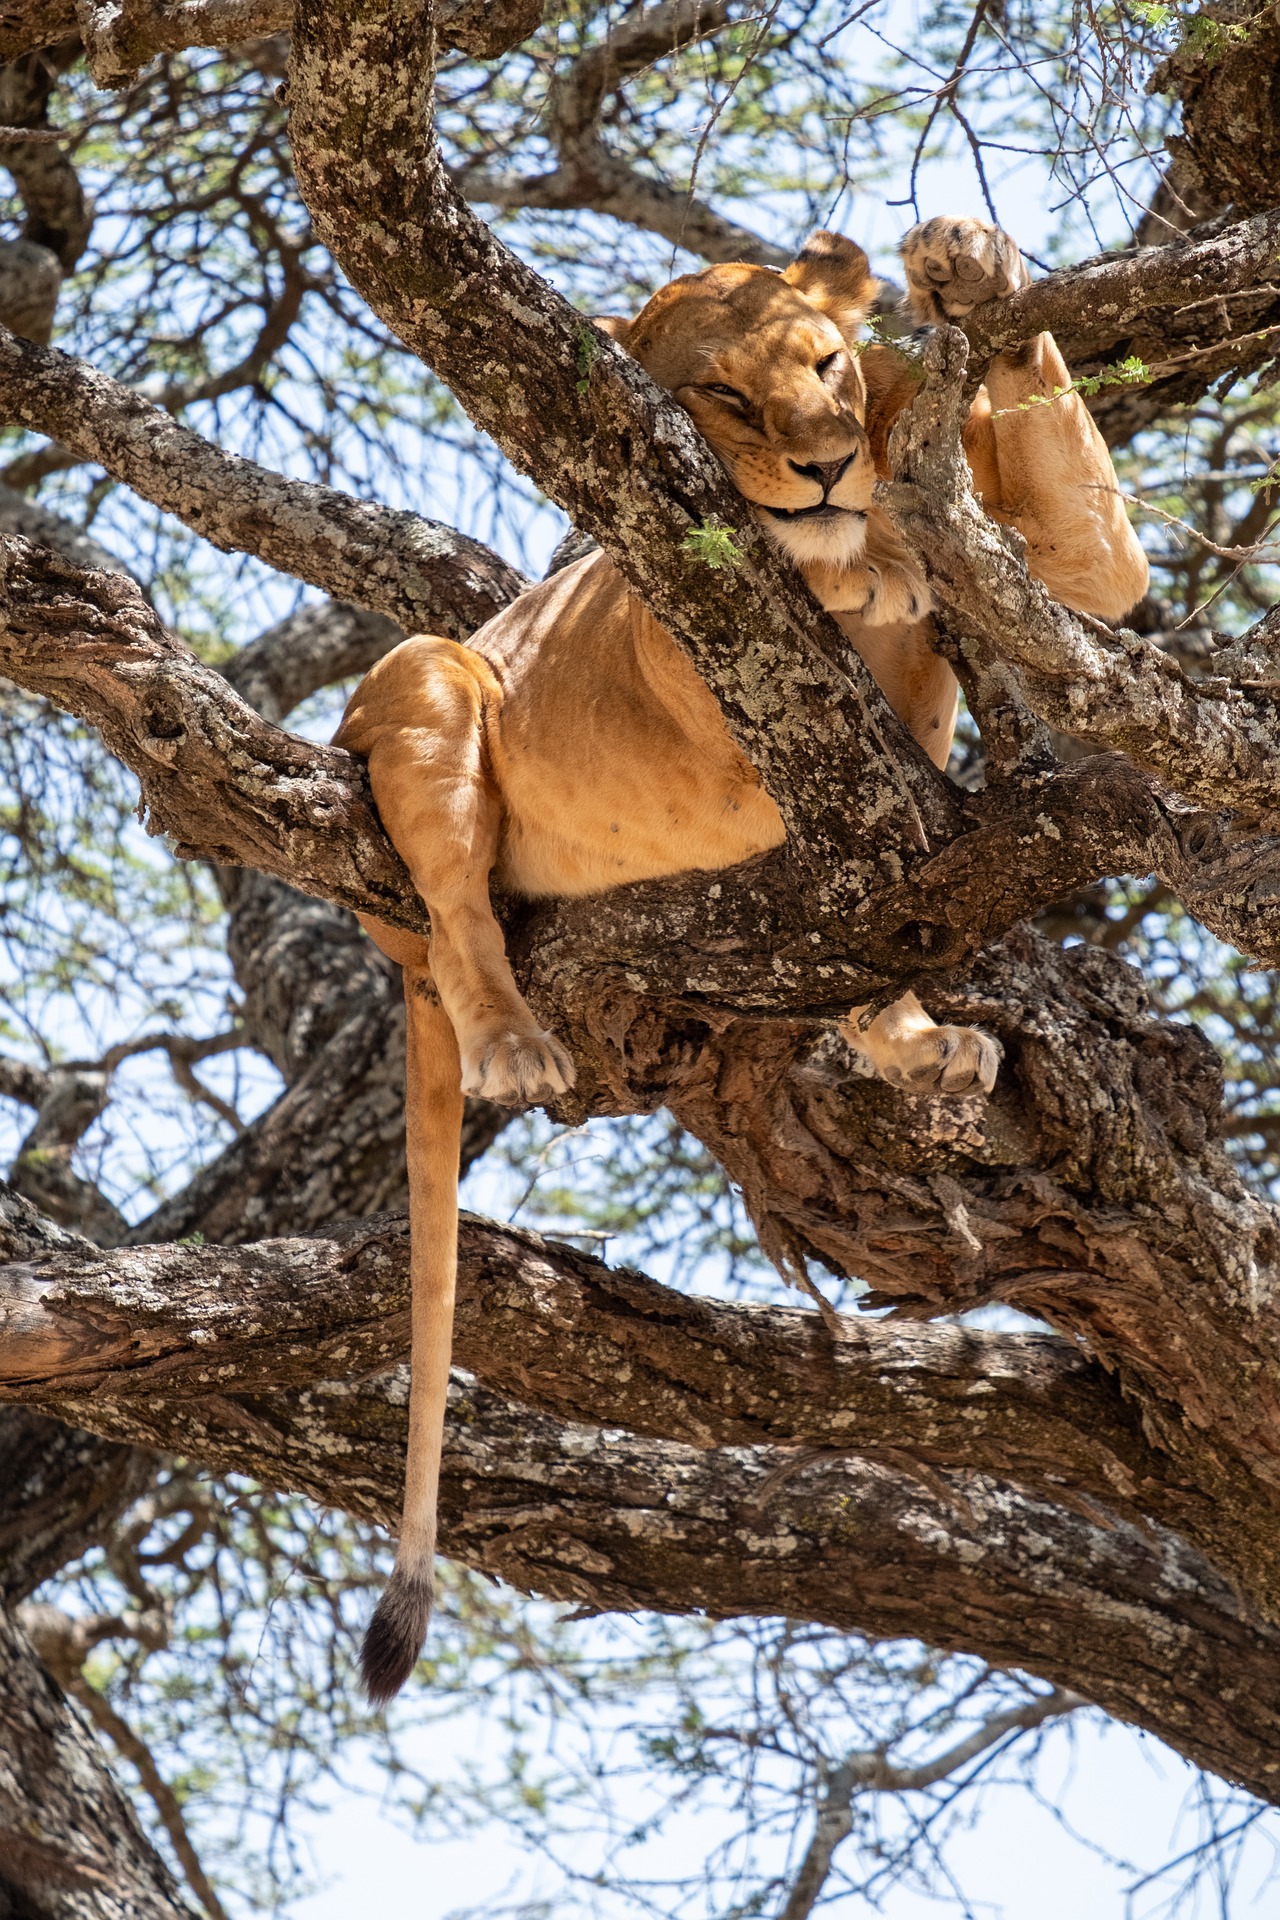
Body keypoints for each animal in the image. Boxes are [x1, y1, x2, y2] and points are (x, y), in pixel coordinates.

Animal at [334, 216, 1150, 1701]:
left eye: (826, 365)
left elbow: (1076, 511)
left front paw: (966, 268)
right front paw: (861, 551)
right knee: (457, 908)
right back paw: (511, 1037)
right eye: (721, 398)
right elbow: (817, 568)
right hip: (430, 679)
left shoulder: (1079, 570)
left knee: (880, 946)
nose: (825, 461)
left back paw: (923, 1043)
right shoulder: (689, 635)